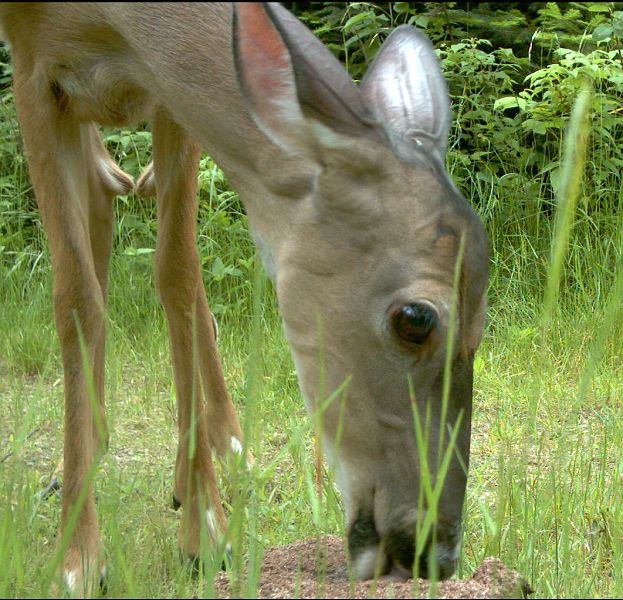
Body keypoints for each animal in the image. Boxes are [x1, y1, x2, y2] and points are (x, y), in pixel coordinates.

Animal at [0, 1, 490, 596]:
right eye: (415, 318)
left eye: (484, 323)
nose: (434, 553)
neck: (108, 23)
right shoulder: (31, 67)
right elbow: (76, 294)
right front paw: (77, 558)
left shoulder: (169, 93)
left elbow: (178, 276)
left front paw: (204, 532)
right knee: (99, 201)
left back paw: (227, 452)